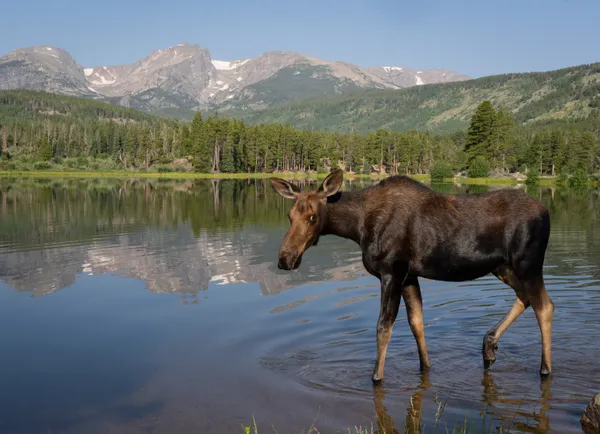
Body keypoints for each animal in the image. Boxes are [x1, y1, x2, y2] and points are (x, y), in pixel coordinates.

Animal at [270, 169, 556, 384]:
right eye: (290, 215)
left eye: (312, 216)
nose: (285, 258)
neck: (357, 227)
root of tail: (547, 213)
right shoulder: (409, 276)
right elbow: (416, 322)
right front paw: (425, 367)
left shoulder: (391, 272)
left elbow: (383, 327)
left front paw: (376, 377)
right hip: (503, 268)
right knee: (526, 298)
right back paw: (489, 345)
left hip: (528, 263)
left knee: (545, 306)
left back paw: (545, 369)